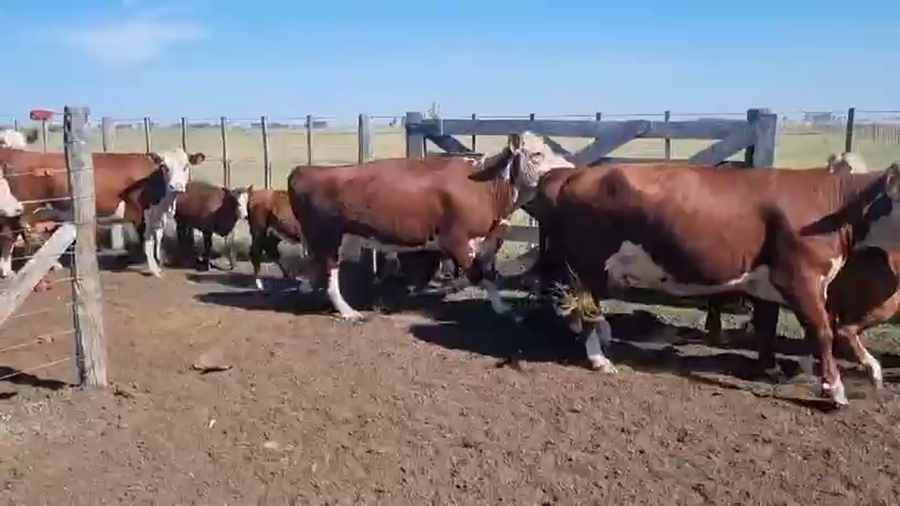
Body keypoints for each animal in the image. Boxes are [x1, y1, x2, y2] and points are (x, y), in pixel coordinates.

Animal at [0, 146, 205, 277]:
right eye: (165, 167)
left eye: (186, 166)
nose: (176, 186)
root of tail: (17, 152)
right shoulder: (142, 212)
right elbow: (147, 240)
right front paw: (154, 269)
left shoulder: (158, 213)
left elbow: (158, 237)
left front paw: (159, 259)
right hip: (23, 208)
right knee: (11, 234)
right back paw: (8, 270)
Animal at [286, 132, 572, 321]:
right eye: (536, 154)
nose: (570, 168)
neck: (486, 186)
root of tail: (305, 170)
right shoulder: (457, 239)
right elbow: (479, 274)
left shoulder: (486, 240)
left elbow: (489, 274)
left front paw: (500, 307)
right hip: (327, 238)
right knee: (329, 273)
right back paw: (348, 312)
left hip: (338, 238)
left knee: (315, 268)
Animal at [541, 159, 900, 407]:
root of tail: (577, 173)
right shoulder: (802, 277)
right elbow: (822, 332)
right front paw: (835, 390)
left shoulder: (769, 281)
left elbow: (767, 324)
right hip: (591, 262)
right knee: (588, 305)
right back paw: (599, 359)